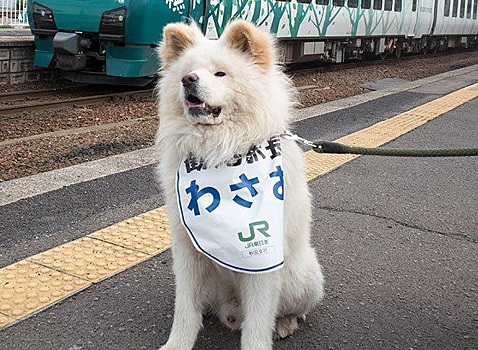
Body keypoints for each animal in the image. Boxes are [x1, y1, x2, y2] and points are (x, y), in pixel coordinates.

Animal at [155, 19, 324, 350]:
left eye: (220, 74)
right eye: (187, 71)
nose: (188, 80)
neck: (219, 152)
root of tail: (230, 308)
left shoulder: (264, 260)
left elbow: (258, 321)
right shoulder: (187, 250)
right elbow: (185, 309)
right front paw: (177, 344)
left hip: (301, 275)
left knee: (292, 310)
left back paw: (285, 323)